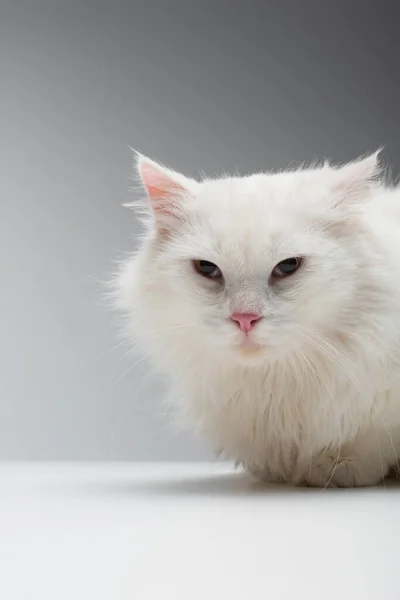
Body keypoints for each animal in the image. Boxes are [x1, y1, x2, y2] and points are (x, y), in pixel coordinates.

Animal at [115, 150, 400, 488]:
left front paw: (336, 465)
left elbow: (368, 434)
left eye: (288, 266)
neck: (276, 383)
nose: (245, 318)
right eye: (207, 268)